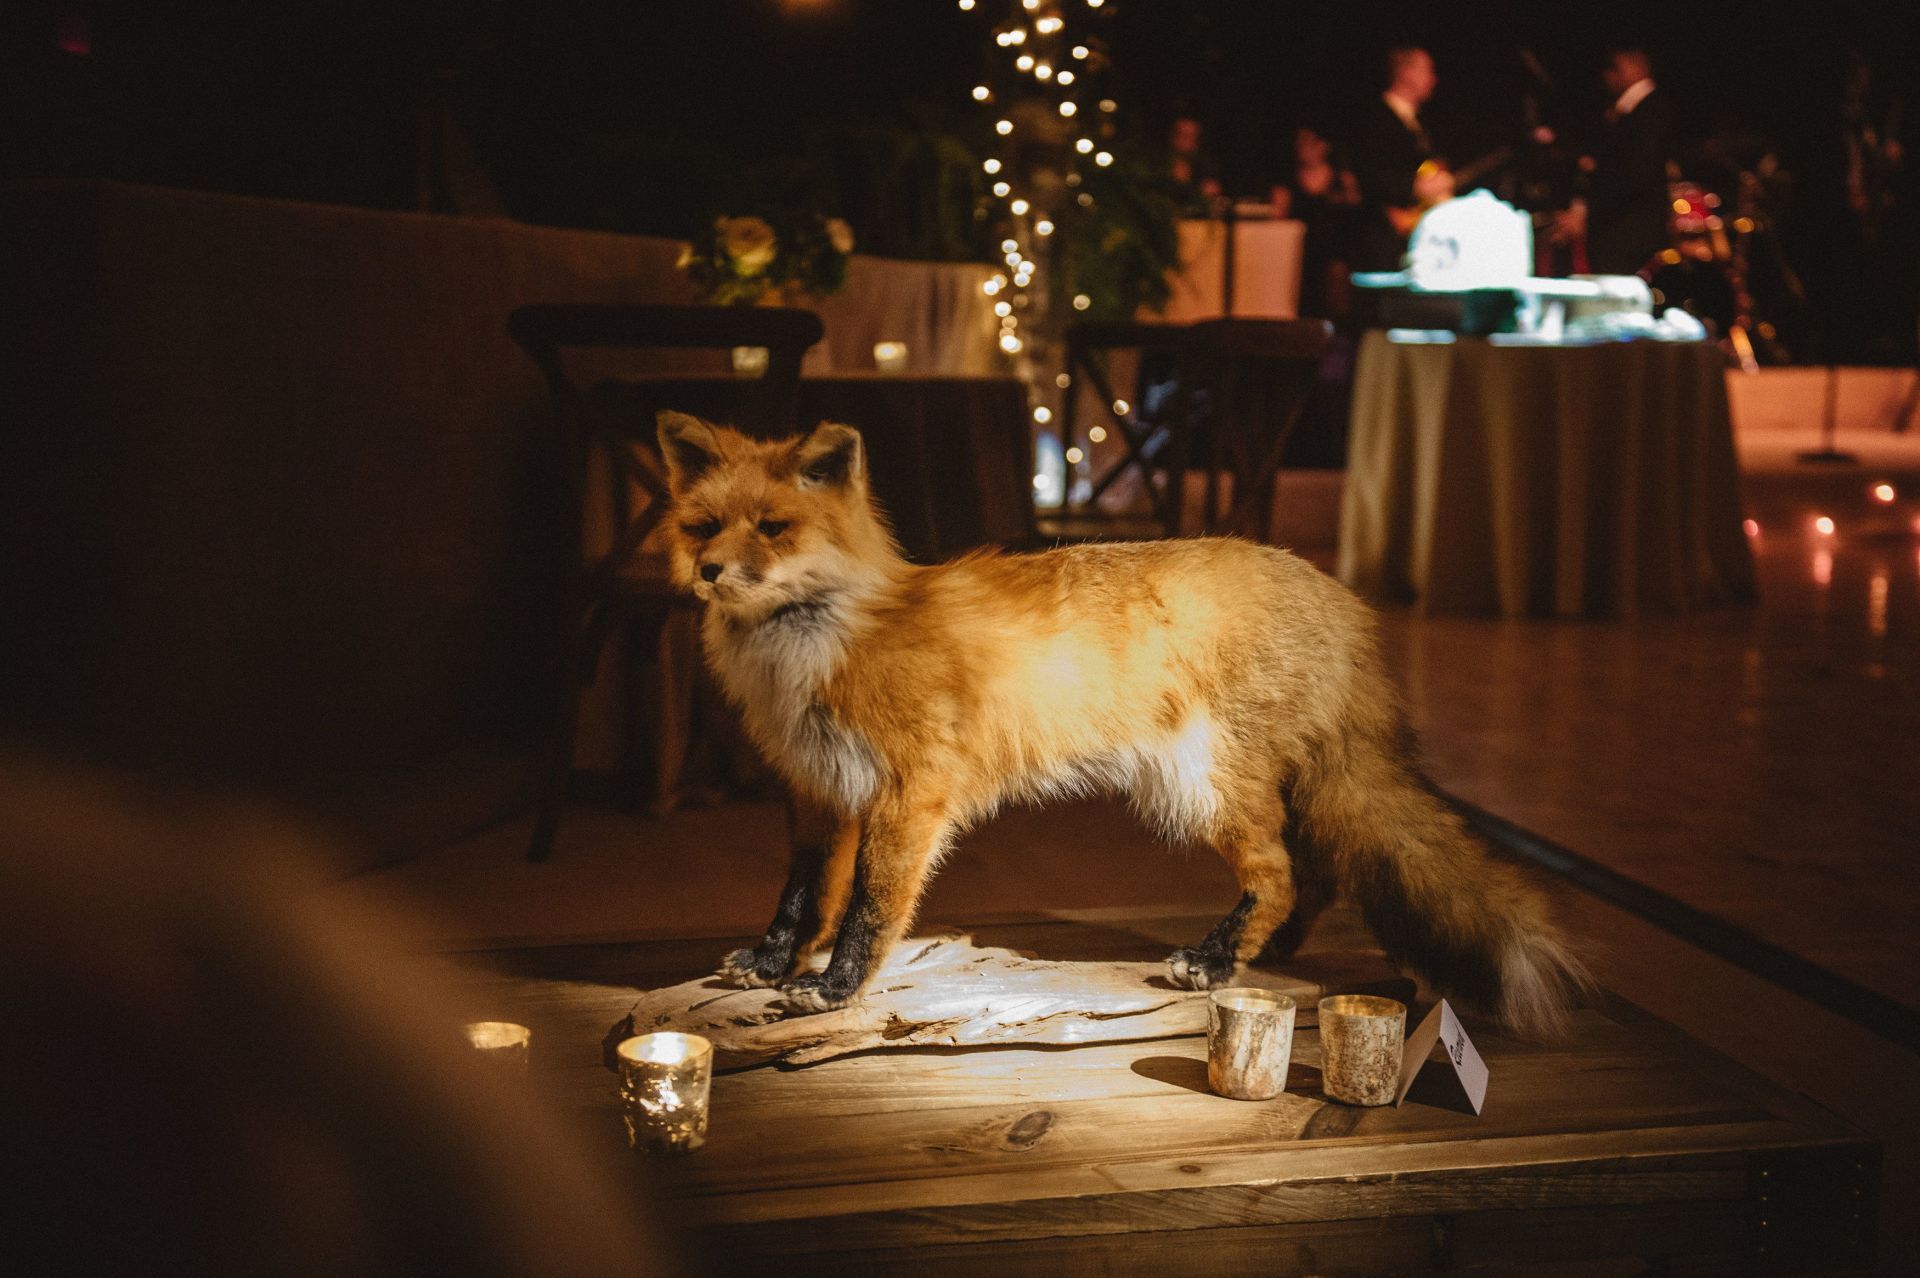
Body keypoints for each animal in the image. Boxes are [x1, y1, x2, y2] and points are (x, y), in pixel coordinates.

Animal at [655, 409, 1592, 1038]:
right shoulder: (818, 794)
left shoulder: (909, 797)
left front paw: (834, 990)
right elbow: (802, 901)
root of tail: (1340, 599)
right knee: (1314, 873)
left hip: (1201, 786)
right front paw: (769, 965)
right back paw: (1262, 955)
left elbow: (868, 911)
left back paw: (1213, 960)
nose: (709, 574)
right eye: (702, 527)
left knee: (1282, 870)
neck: (820, 645)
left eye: (774, 529)